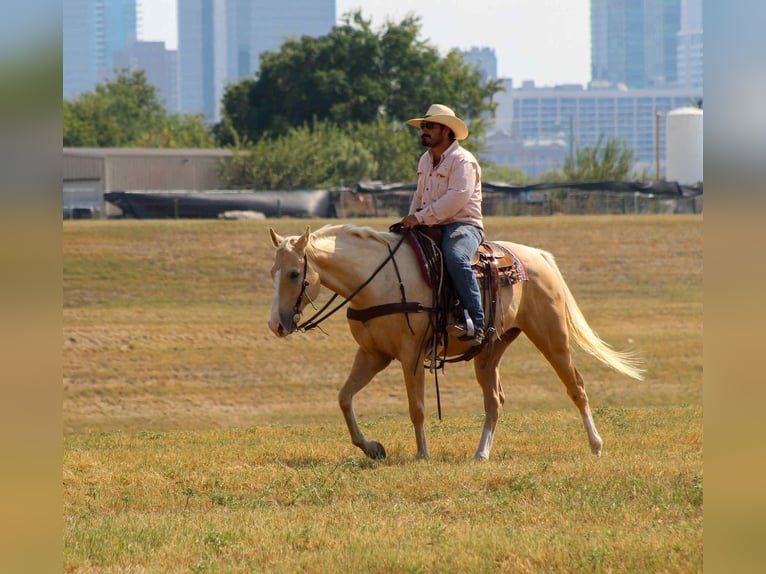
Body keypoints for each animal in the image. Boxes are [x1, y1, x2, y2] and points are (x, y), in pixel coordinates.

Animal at [268, 224, 643, 461]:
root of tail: (538, 256)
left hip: (552, 337)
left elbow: (417, 408)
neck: (380, 280)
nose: (276, 324)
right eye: (273, 272)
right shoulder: (373, 354)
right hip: (490, 351)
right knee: (494, 401)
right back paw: (481, 454)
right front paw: (372, 447)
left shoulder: (411, 355)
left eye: (294, 274)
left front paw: (422, 454)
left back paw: (596, 445)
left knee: (576, 387)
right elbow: (344, 398)